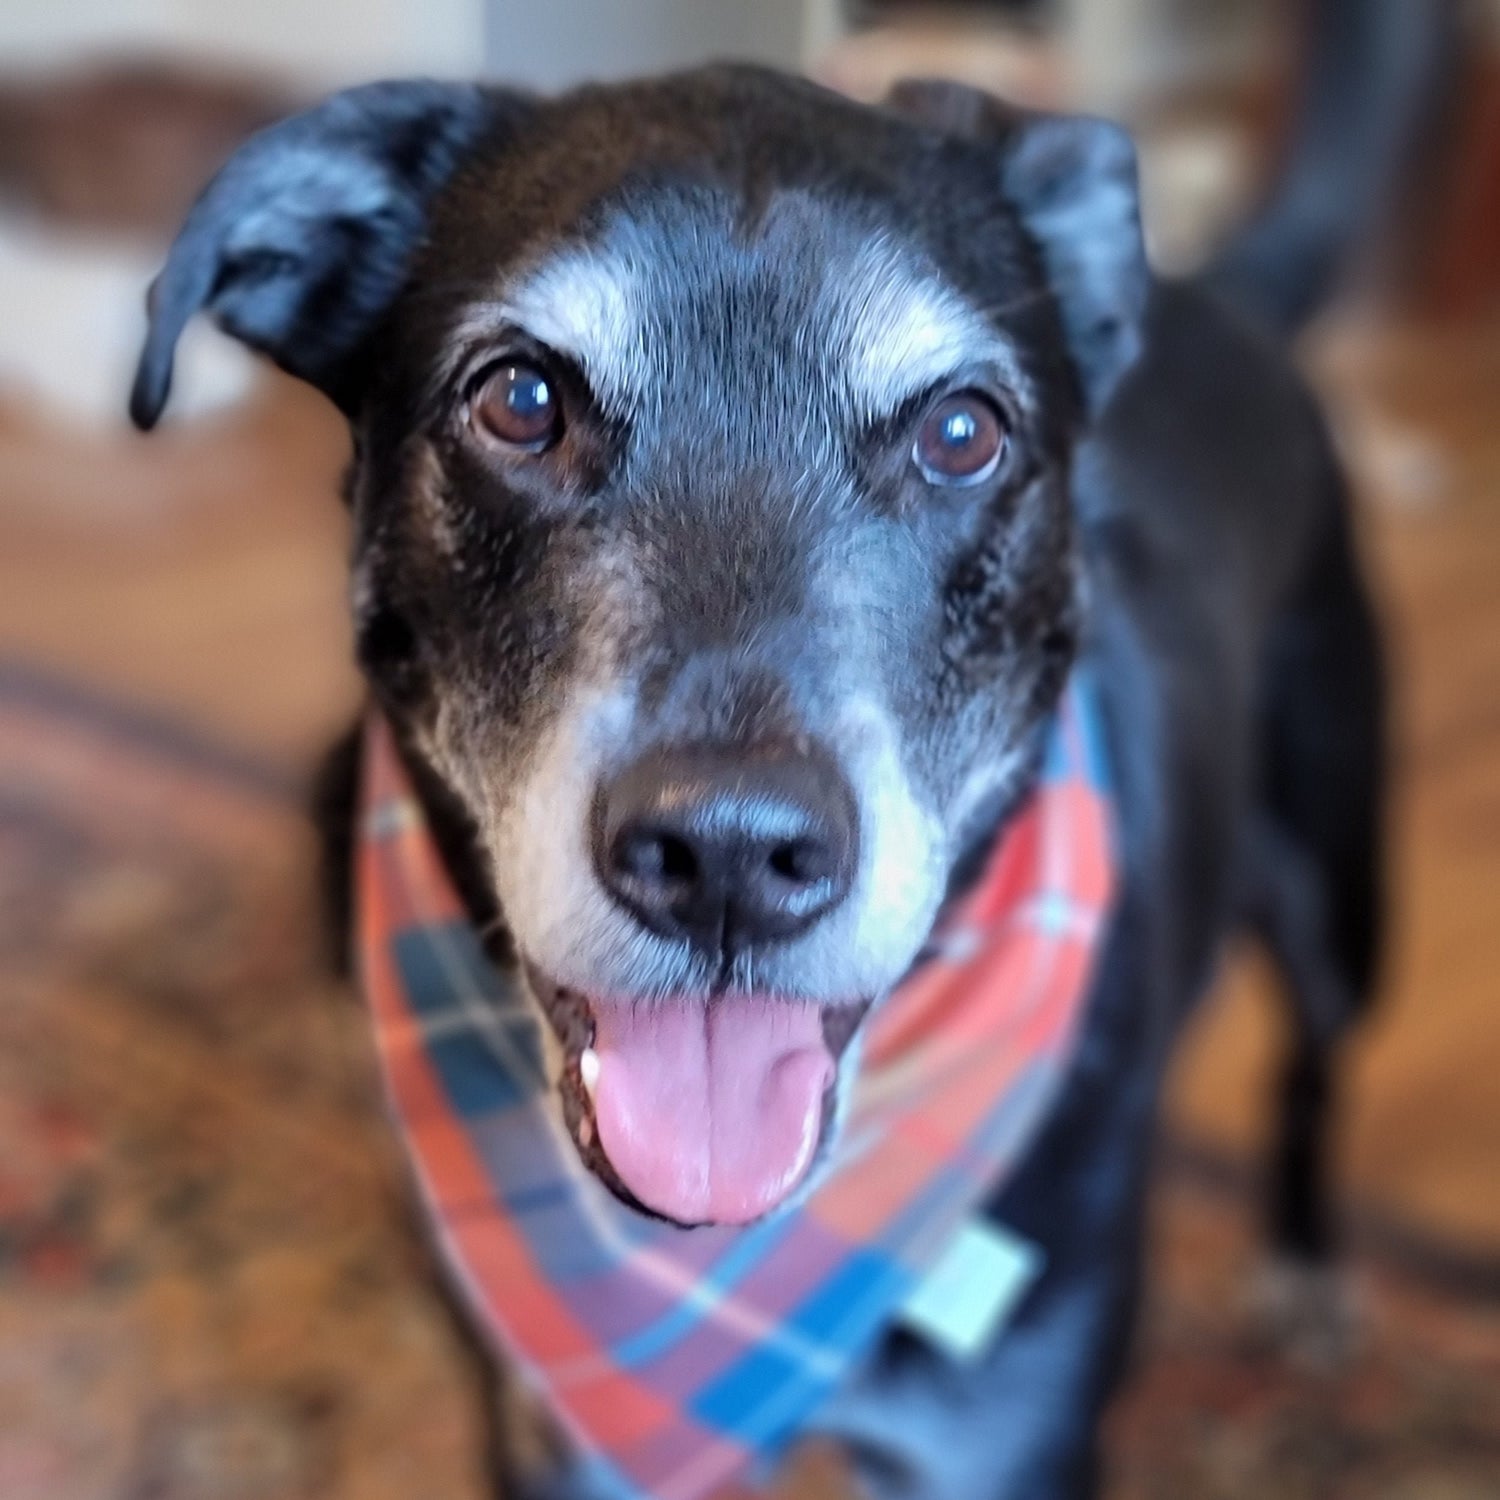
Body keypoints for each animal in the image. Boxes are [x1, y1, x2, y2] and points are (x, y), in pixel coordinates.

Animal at [123, 43, 1410, 1488]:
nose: (727, 856)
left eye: (962, 432)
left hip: (1336, 889)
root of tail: (1224, 299)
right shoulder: (541, 1437)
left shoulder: (1004, 1438)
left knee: (1313, 1065)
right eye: (519, 399)